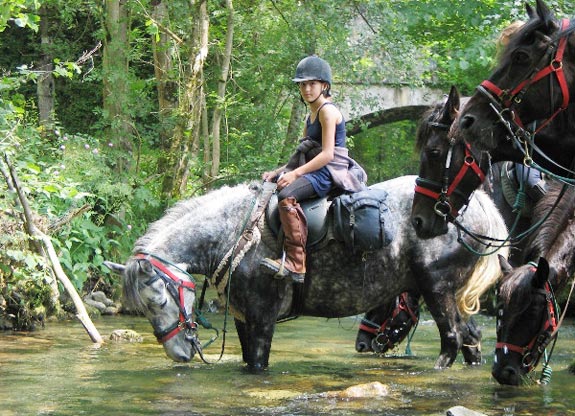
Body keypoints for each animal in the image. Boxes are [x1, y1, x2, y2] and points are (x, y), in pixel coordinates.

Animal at [104, 174, 508, 368]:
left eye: (157, 301)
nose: (178, 354)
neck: (234, 233)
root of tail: (477, 206)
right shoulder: (243, 320)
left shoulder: (262, 319)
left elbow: (258, 364)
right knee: (471, 336)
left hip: (436, 288)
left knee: (453, 338)